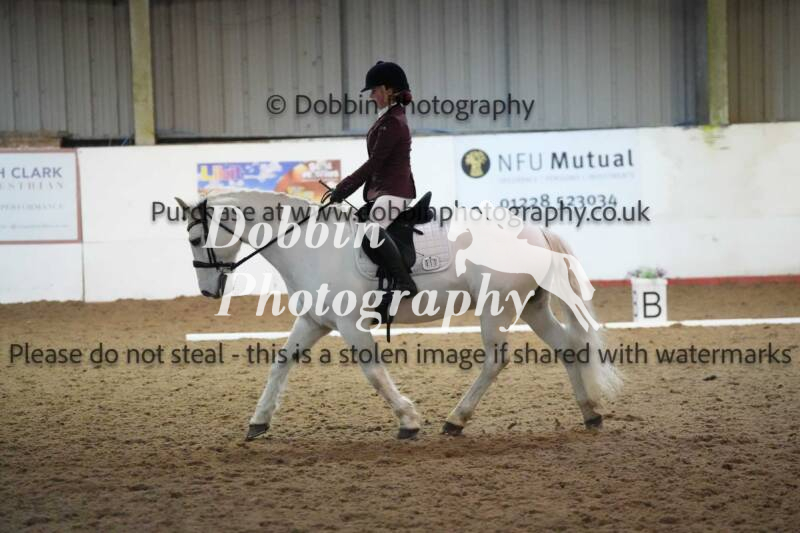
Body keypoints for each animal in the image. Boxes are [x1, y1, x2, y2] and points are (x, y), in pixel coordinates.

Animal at [175, 190, 622, 440]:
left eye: (195, 238)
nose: (208, 291)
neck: (309, 245)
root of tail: (536, 231)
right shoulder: (315, 321)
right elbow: (280, 364)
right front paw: (258, 422)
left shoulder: (351, 325)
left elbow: (373, 372)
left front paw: (408, 421)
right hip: (532, 305)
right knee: (568, 347)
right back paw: (590, 413)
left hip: (496, 306)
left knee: (496, 359)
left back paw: (455, 421)